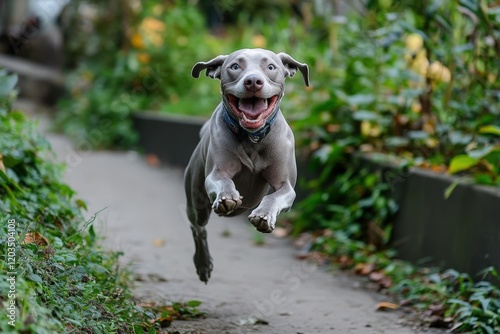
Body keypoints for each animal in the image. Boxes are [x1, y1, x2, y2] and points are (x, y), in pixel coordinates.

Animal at [185, 48, 308, 284]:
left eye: (271, 67)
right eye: (235, 66)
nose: (253, 82)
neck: (253, 137)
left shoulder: (286, 187)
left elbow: (274, 196)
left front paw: (263, 215)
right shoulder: (215, 174)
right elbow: (222, 181)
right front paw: (227, 197)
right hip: (197, 200)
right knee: (198, 228)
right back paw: (203, 264)